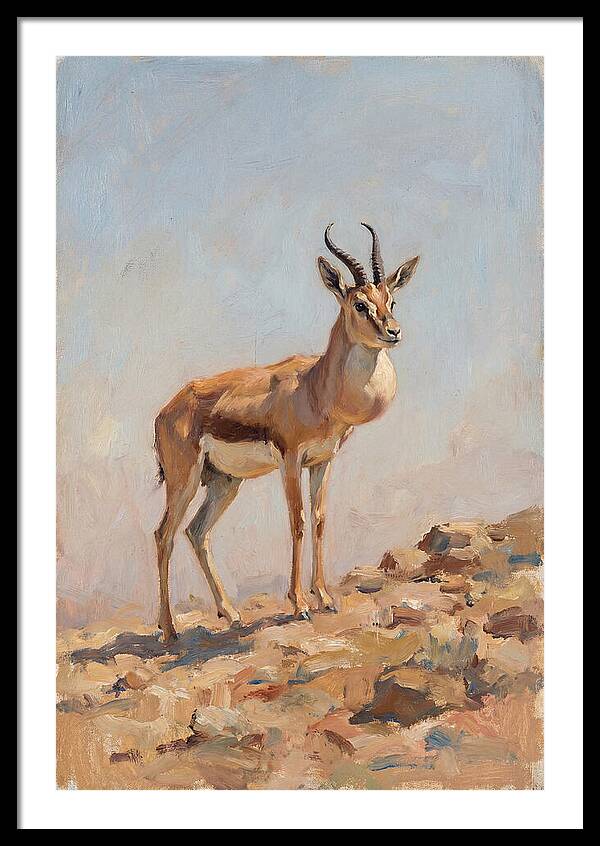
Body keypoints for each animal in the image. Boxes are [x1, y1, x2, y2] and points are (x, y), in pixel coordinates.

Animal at [153, 223, 419, 642]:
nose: (393, 332)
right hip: (185, 479)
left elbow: (320, 520)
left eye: (390, 299)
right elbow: (297, 522)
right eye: (359, 304)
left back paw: (231, 615)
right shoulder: (291, 460)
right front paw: (299, 604)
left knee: (196, 532)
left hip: (224, 482)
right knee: (163, 535)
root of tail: (167, 410)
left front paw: (324, 597)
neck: (315, 388)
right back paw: (169, 630)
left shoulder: (323, 461)